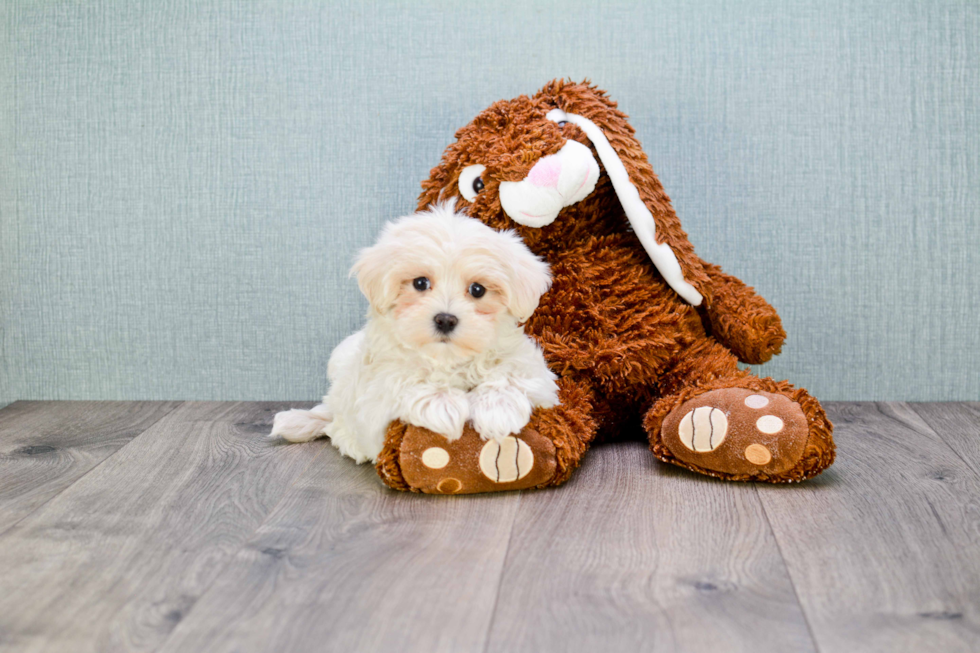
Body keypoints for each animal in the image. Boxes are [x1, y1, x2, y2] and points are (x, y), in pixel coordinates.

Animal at [270, 204, 560, 464]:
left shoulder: (535, 374)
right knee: (334, 417)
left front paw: (499, 409)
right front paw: (445, 404)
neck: (448, 360)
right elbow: (403, 381)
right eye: (420, 283)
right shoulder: (375, 397)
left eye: (477, 290)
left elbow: (510, 375)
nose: (445, 319)